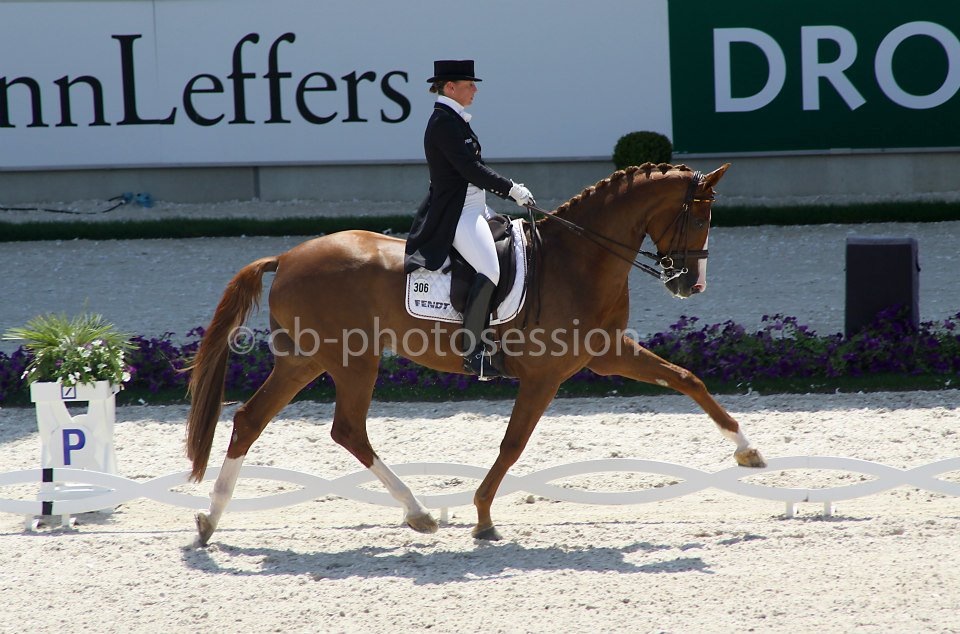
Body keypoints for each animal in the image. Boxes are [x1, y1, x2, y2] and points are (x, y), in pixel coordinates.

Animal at [186, 162, 764, 544]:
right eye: (699, 219)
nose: (691, 284)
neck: (578, 259)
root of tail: (285, 257)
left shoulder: (607, 352)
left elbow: (686, 378)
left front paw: (748, 452)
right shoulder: (545, 375)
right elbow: (513, 444)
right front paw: (484, 516)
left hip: (305, 360)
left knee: (251, 420)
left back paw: (211, 520)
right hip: (351, 360)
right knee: (347, 430)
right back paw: (419, 512)